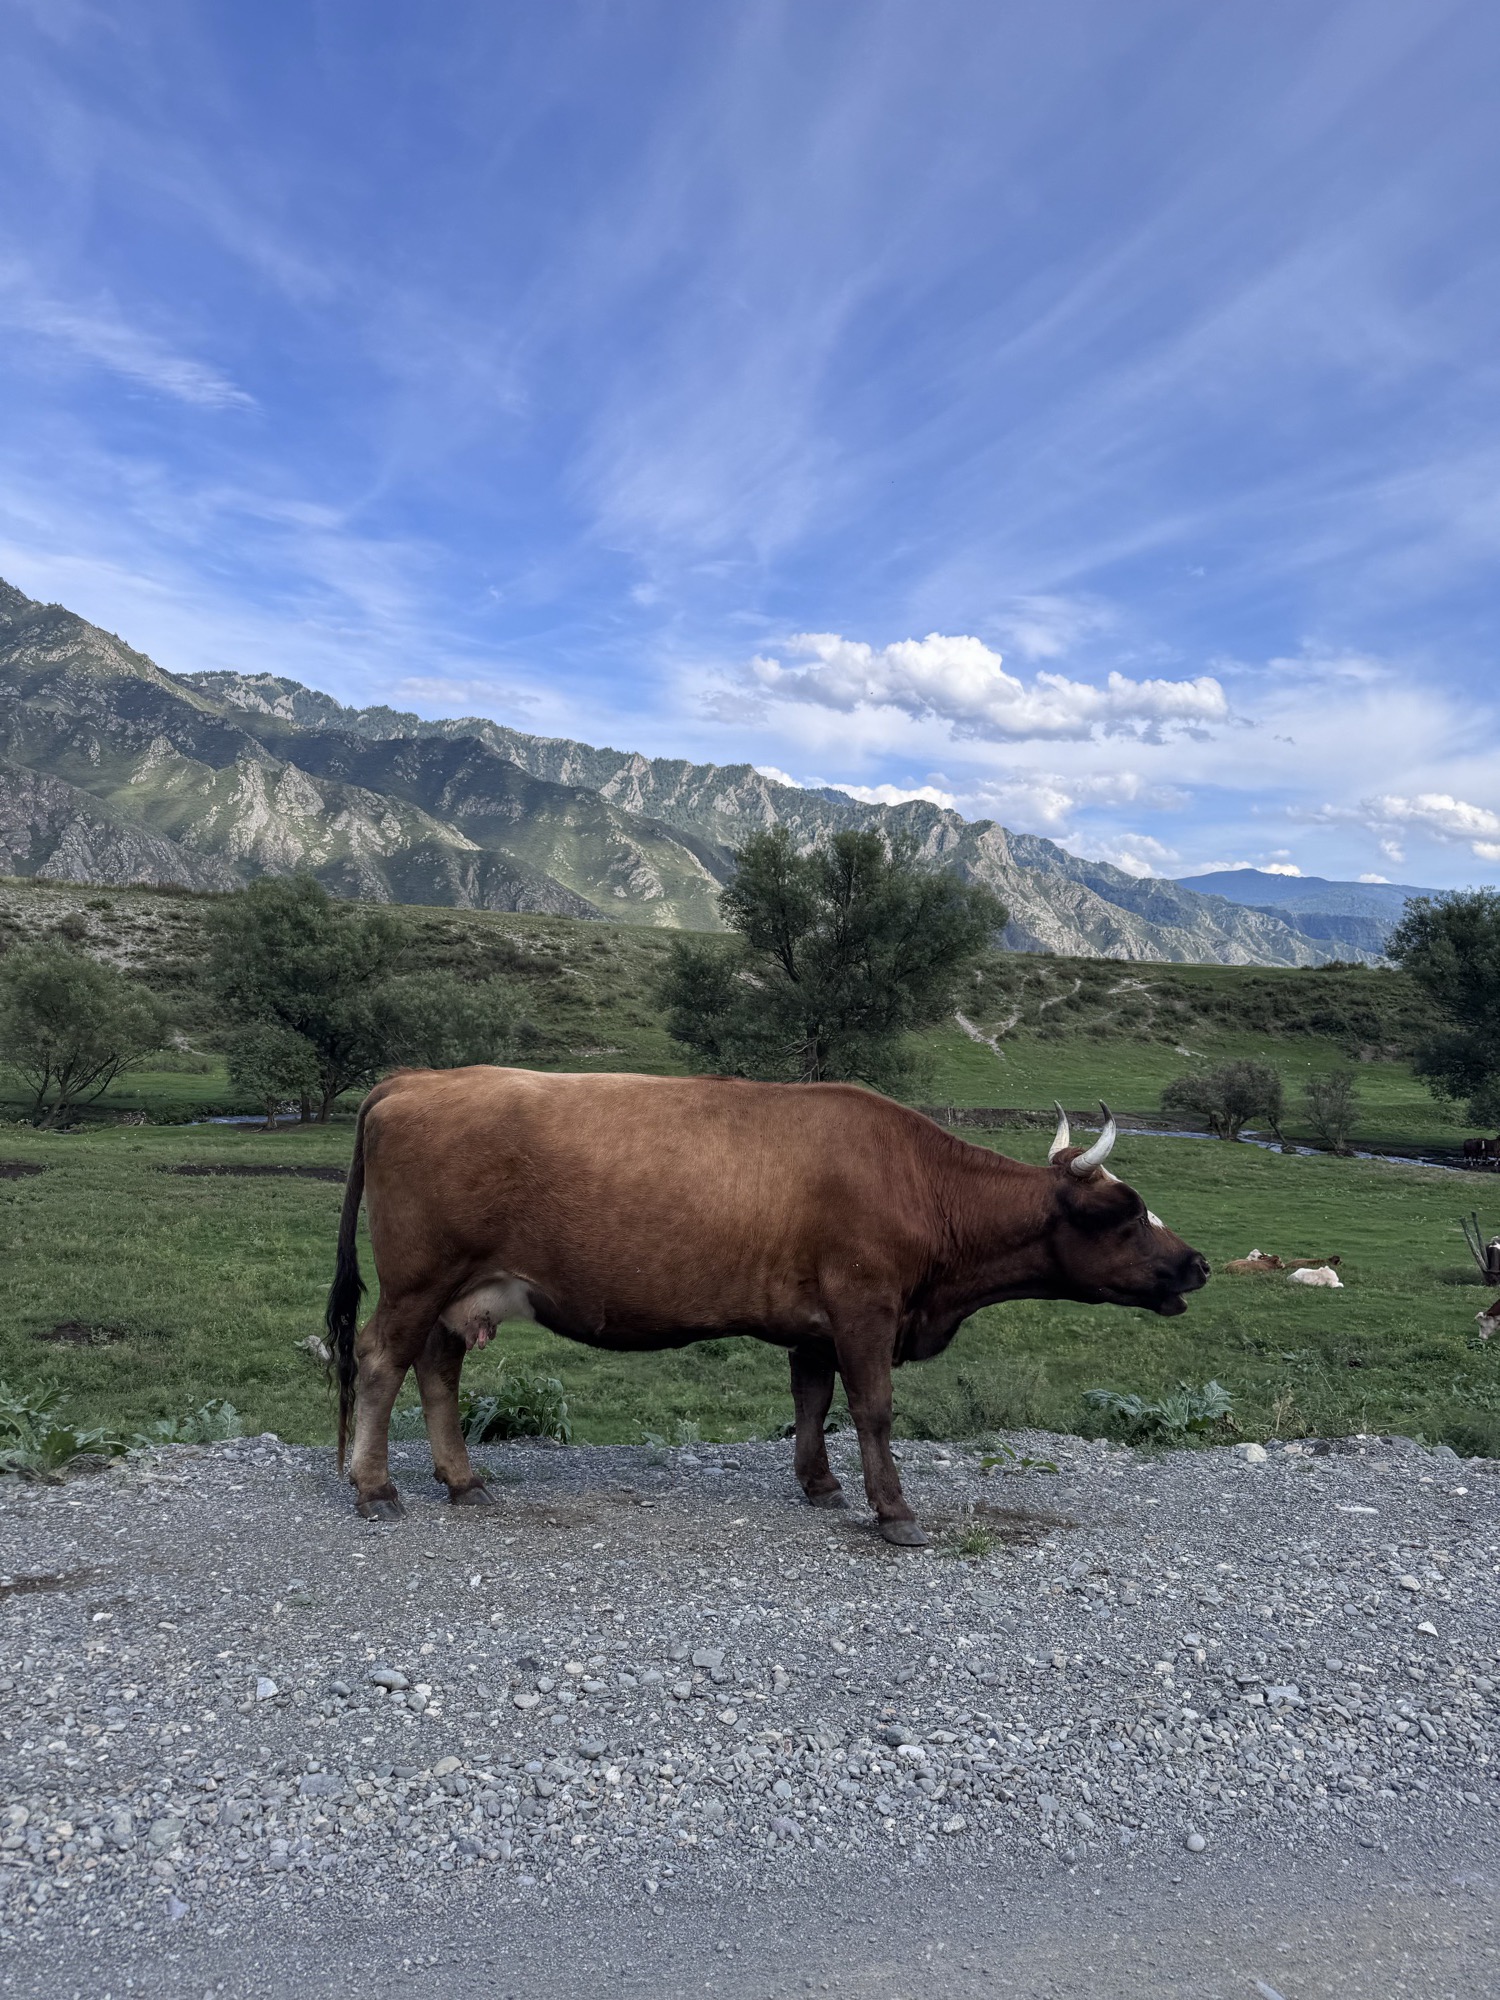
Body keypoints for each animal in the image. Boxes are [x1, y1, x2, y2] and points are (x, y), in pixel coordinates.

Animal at [325, 1072, 1209, 1547]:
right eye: (1128, 1213)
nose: (1197, 1265)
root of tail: (418, 1079)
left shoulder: (815, 1326)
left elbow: (813, 1402)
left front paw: (820, 1484)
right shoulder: (864, 1308)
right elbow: (873, 1409)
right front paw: (894, 1510)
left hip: (457, 1295)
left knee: (437, 1370)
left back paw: (463, 1479)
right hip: (419, 1281)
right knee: (380, 1360)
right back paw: (374, 1487)